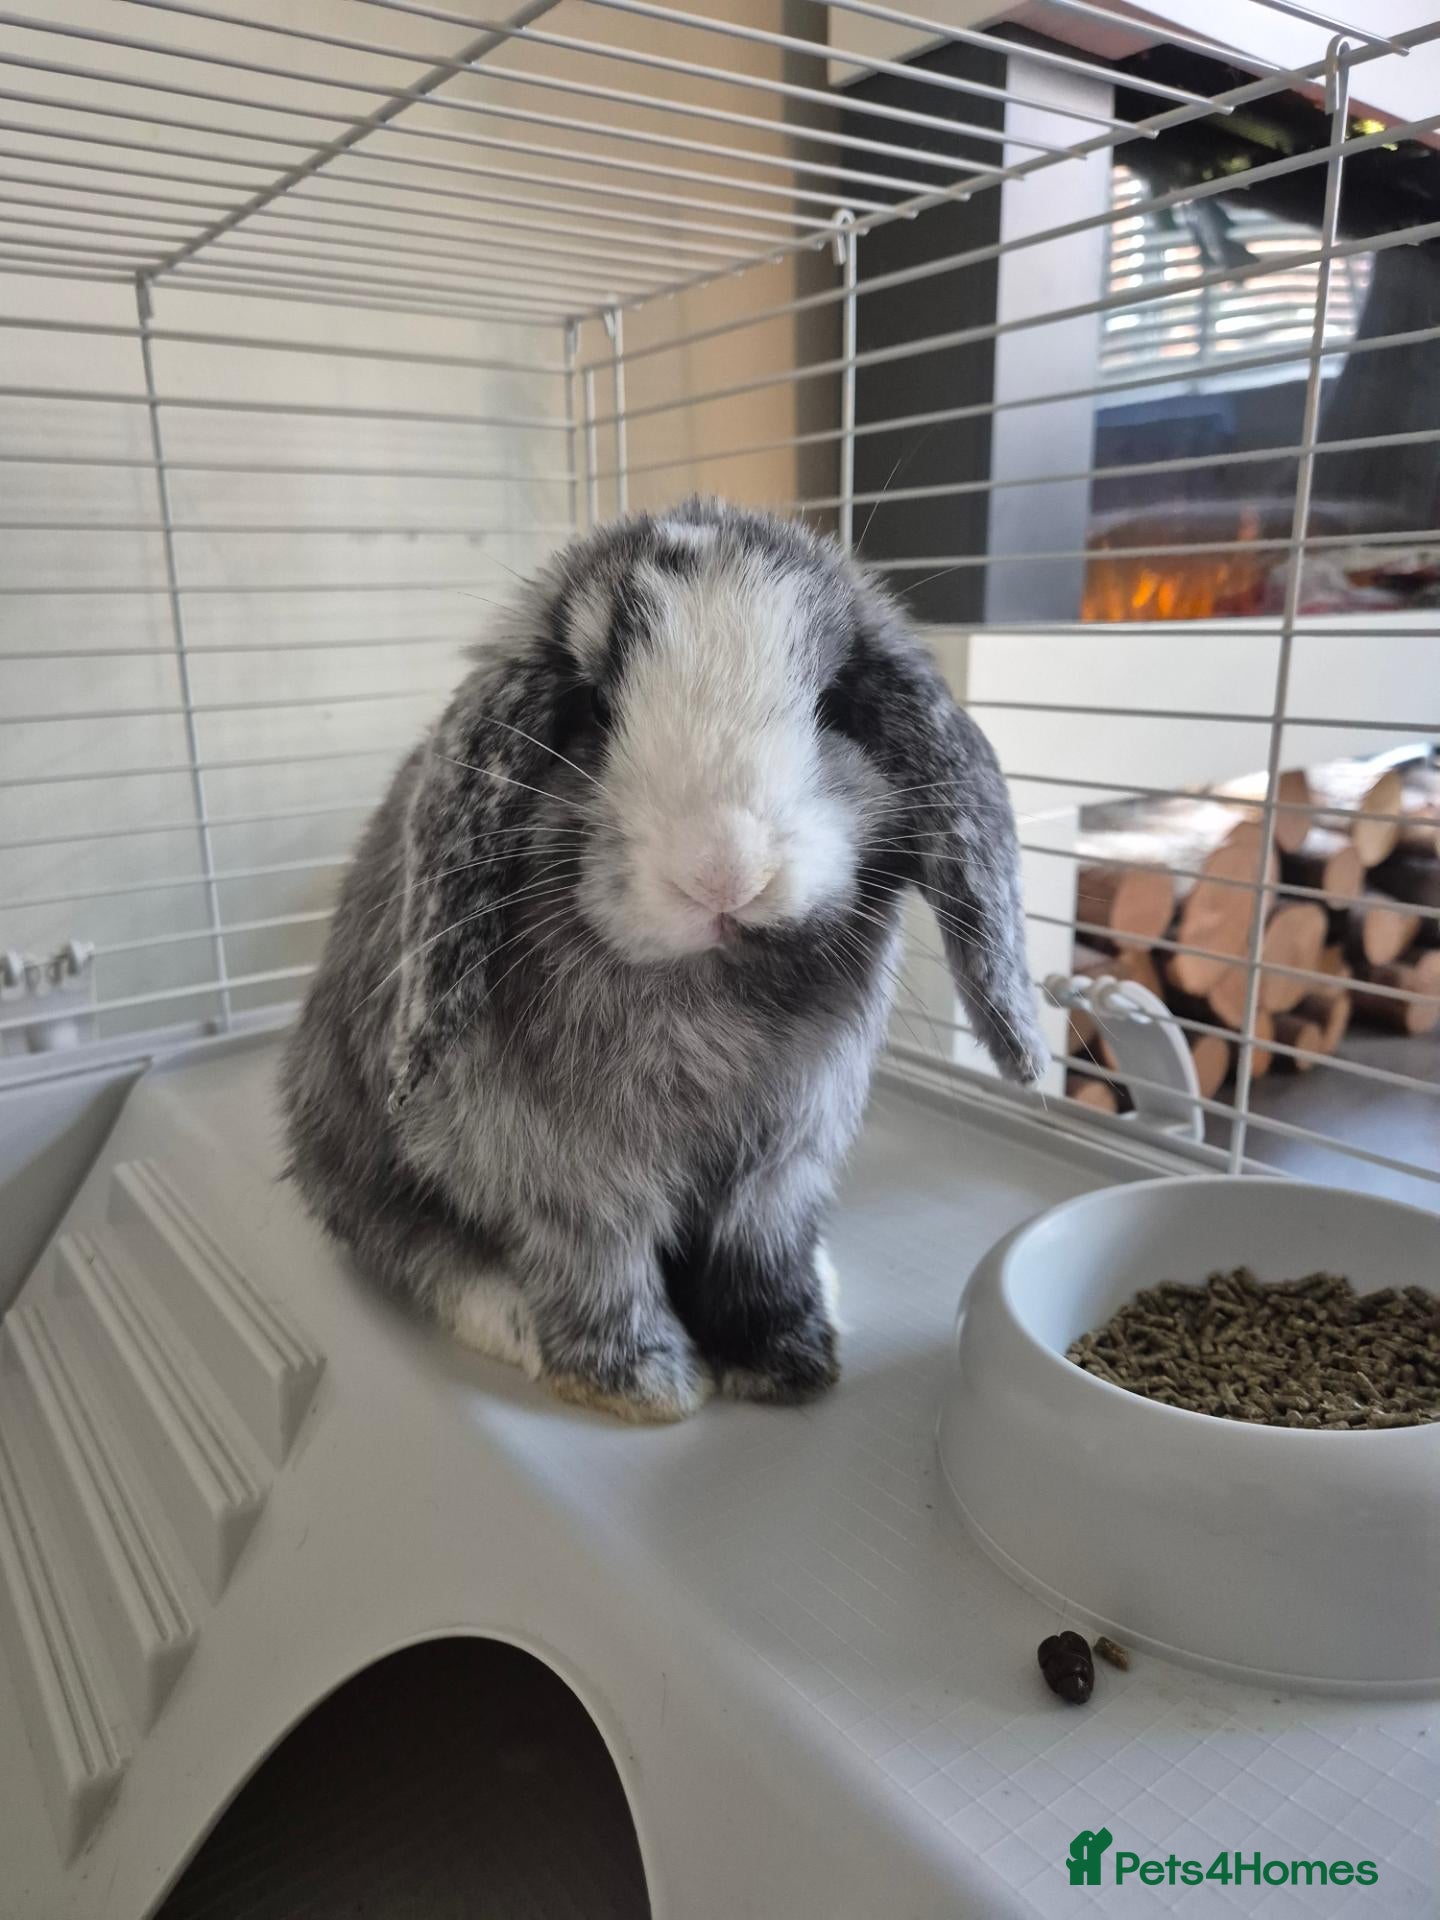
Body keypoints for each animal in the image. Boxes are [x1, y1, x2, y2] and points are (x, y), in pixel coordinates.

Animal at [280, 501, 1046, 1423]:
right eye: (593, 708)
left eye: (832, 705)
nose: (723, 872)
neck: (709, 991)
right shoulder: (564, 1178)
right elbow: (598, 1264)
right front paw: (642, 1385)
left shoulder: (785, 1157)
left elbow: (763, 1246)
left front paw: (787, 1359)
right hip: (350, 1163)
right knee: (419, 1252)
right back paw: (510, 1317)